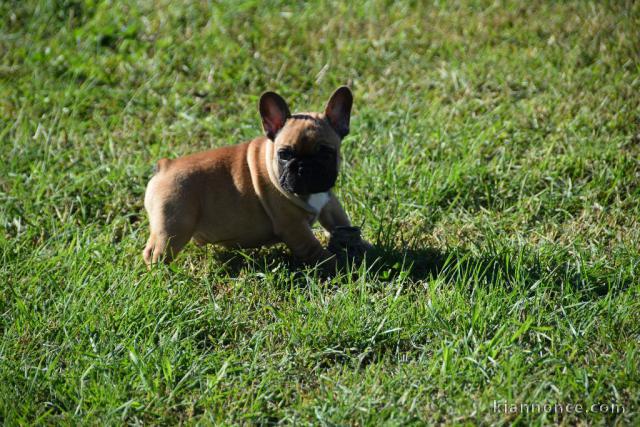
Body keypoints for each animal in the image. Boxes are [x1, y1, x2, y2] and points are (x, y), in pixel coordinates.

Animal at [142, 85, 368, 270]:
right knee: (154, 253)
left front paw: (363, 246)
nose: (304, 167)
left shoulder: (328, 202)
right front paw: (338, 267)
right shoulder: (294, 228)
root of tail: (165, 166)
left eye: (326, 153)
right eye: (284, 154)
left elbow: (339, 220)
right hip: (173, 227)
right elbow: (316, 251)